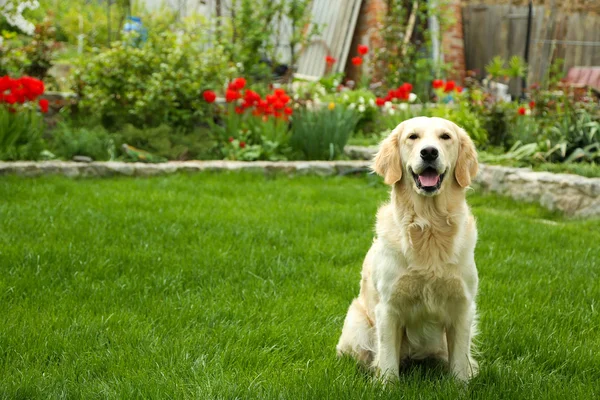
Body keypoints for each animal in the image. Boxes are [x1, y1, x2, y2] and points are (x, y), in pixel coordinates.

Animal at [336, 115, 480, 382]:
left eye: (445, 137)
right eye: (413, 137)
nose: (429, 152)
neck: (428, 226)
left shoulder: (463, 305)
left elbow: (459, 363)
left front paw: (460, 385)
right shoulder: (388, 307)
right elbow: (388, 361)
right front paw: (388, 385)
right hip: (358, 324)